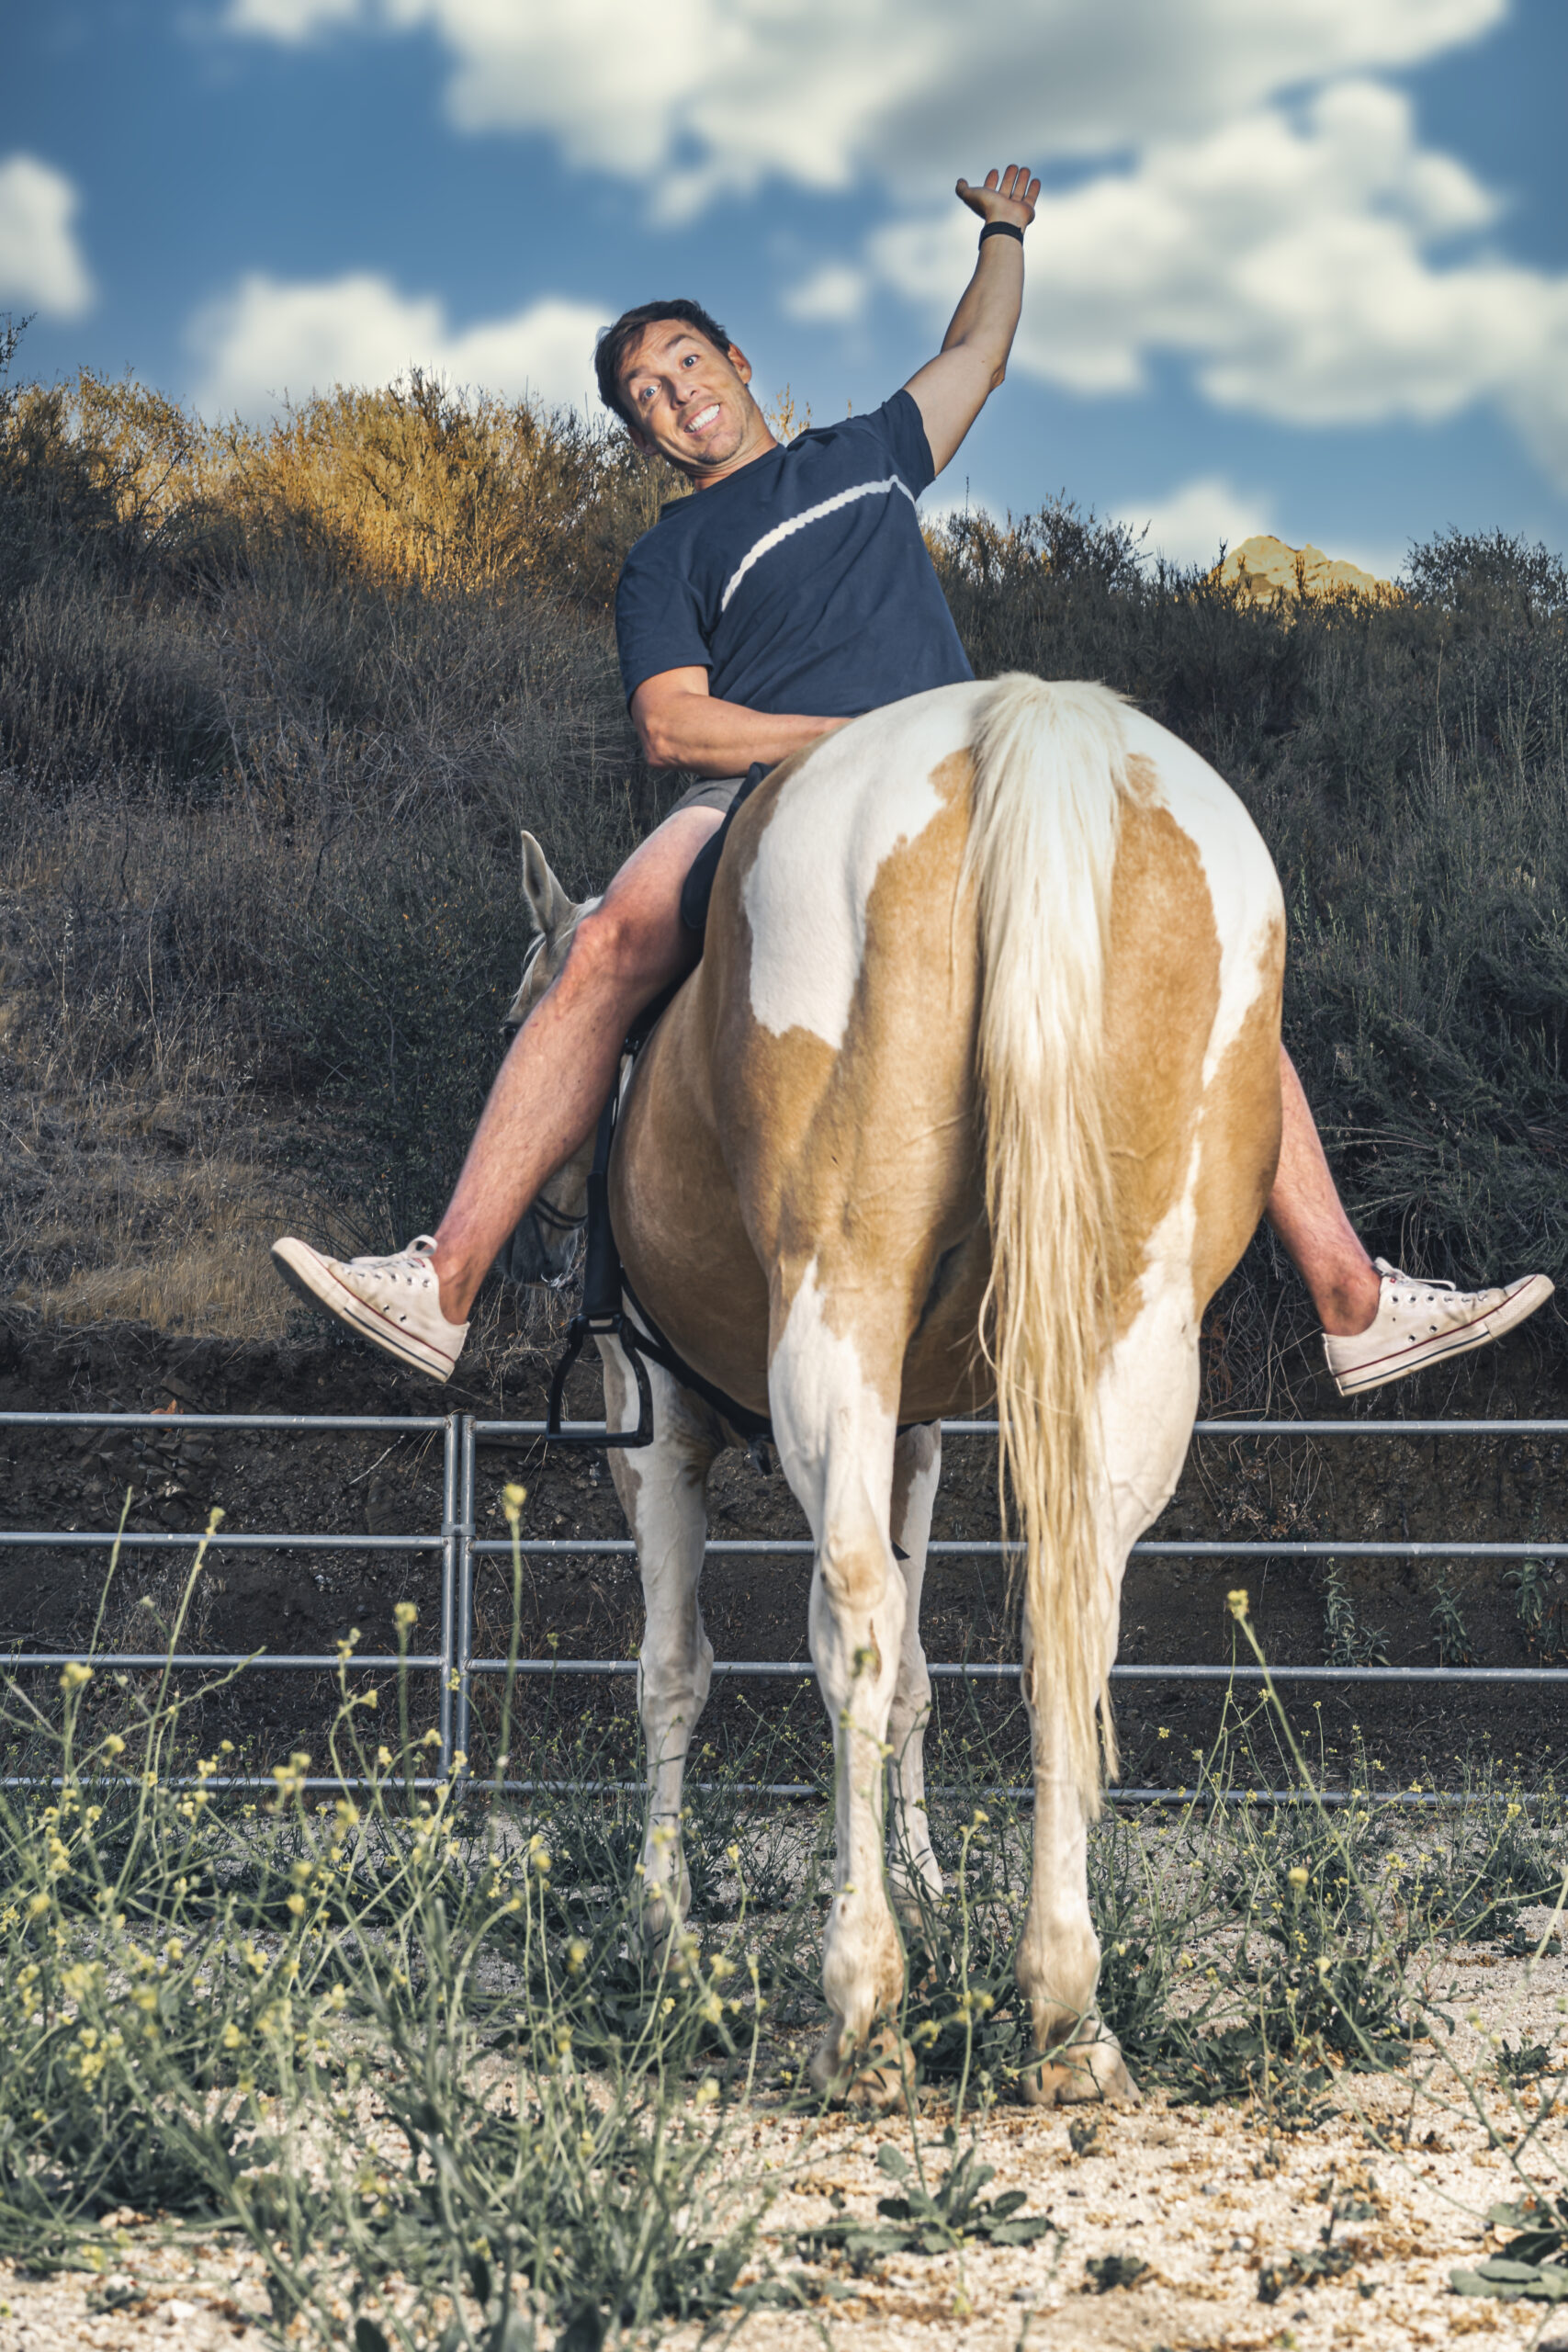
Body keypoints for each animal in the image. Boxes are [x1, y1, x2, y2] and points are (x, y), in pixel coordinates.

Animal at [501, 675, 1284, 2106]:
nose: (539, 1245)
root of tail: (1025, 731)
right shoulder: (920, 1436)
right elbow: (922, 1669)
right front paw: (921, 1884)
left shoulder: (653, 1425)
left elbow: (674, 1667)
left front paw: (661, 1921)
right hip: (1130, 1336)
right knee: (1065, 1625)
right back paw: (1065, 2006)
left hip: (839, 1304)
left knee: (853, 1620)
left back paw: (860, 2004)